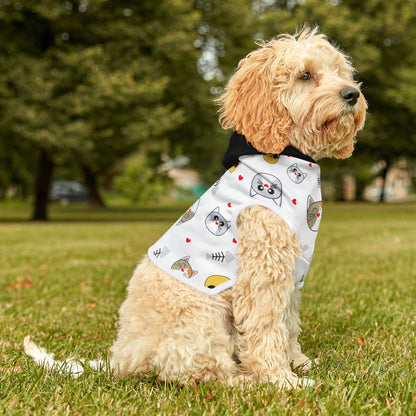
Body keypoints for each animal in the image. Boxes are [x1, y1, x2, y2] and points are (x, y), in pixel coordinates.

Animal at [24, 27, 366, 388]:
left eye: (340, 72)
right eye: (305, 75)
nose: (352, 94)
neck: (288, 156)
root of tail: (122, 359)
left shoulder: (291, 271)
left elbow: (288, 323)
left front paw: (299, 362)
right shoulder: (262, 271)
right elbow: (266, 328)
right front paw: (281, 380)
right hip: (202, 315)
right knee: (201, 371)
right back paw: (244, 380)